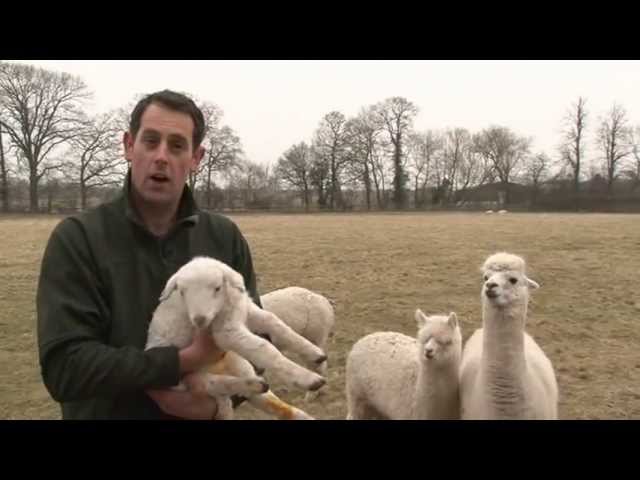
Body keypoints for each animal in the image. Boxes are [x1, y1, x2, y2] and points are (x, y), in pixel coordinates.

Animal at [144, 256, 324, 418]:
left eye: (217, 288)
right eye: (182, 292)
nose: (199, 320)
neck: (225, 307)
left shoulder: (247, 311)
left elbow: (275, 323)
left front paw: (314, 353)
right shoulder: (226, 333)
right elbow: (264, 348)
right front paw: (308, 378)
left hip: (238, 363)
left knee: (268, 402)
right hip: (183, 381)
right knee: (213, 385)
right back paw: (250, 386)